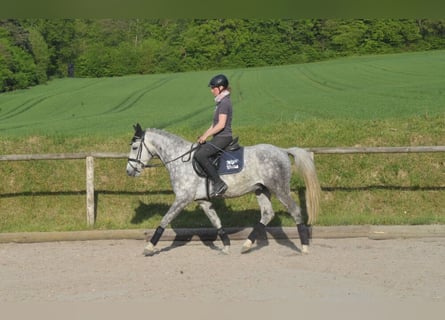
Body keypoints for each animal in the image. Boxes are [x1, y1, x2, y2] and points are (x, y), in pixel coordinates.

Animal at [125, 124, 320, 256]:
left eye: (134, 147)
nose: (129, 171)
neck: (180, 159)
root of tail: (282, 150)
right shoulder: (203, 201)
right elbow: (216, 222)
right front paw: (226, 245)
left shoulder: (182, 199)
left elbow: (165, 220)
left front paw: (149, 246)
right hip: (261, 189)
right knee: (267, 214)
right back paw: (247, 245)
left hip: (279, 188)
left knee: (294, 210)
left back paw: (304, 247)